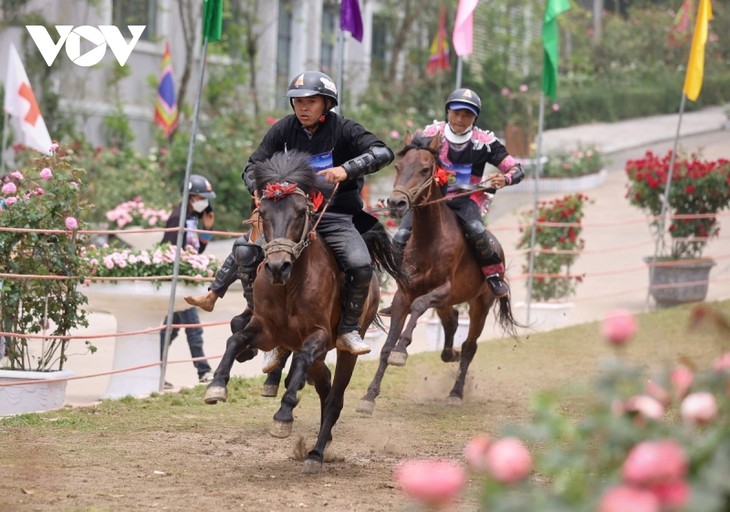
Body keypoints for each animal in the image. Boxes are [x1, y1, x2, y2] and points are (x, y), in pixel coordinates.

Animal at [202, 150, 398, 470]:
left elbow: (303, 359)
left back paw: (316, 453)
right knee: (325, 385)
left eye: (299, 213)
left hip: (347, 347)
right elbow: (235, 339)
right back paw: (323, 440)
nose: (277, 266)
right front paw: (216, 386)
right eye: (263, 214)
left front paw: (283, 416)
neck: (290, 285)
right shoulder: (266, 329)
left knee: (335, 396)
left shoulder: (317, 336)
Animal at [356, 133, 516, 416]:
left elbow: (418, 308)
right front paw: (369, 396)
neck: (429, 242)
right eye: (398, 167)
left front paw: (402, 350)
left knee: (469, 346)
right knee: (451, 322)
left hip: (480, 304)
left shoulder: (442, 290)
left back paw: (455, 392)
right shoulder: (404, 295)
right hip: (446, 304)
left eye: (424, 169)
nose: (396, 203)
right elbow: (385, 346)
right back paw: (449, 354)